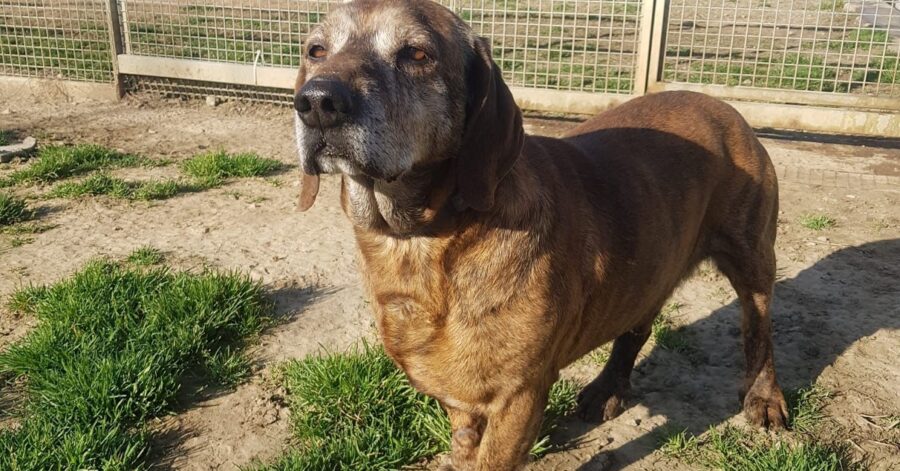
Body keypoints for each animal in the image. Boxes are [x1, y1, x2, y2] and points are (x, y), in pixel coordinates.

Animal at [294, 1, 788, 470]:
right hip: (650, 263)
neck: (422, 240)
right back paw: (608, 387)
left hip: (752, 260)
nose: (317, 102)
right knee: (637, 325)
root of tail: (722, 104)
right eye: (316, 50)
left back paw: (764, 398)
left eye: (417, 54)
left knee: (759, 330)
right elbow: (465, 444)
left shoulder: (519, 399)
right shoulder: (463, 400)